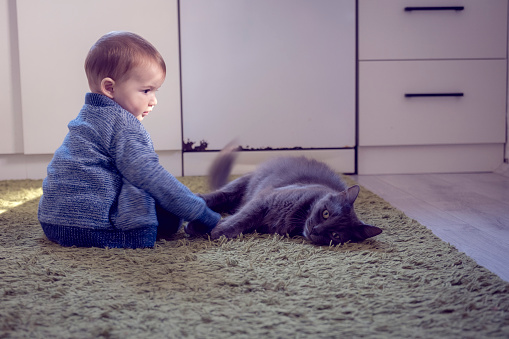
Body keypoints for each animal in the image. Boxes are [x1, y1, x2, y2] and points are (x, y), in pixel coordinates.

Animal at [187, 147, 380, 246]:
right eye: (326, 213)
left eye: (335, 235)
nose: (316, 229)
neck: (298, 217)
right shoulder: (264, 199)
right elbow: (241, 218)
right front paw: (215, 230)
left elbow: (241, 222)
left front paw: (206, 228)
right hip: (241, 185)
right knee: (220, 195)